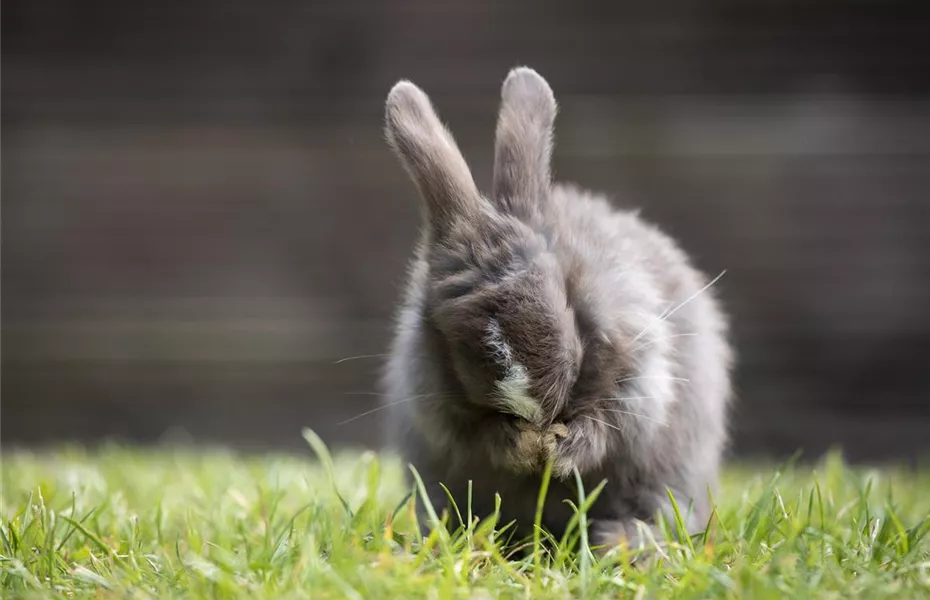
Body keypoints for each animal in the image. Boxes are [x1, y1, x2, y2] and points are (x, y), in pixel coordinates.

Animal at [378, 67, 732, 552]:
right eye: (457, 336)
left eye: (560, 299)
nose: (533, 409)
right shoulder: (433, 401)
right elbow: (476, 434)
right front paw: (520, 445)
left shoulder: (640, 375)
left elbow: (608, 427)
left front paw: (562, 450)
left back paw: (617, 543)